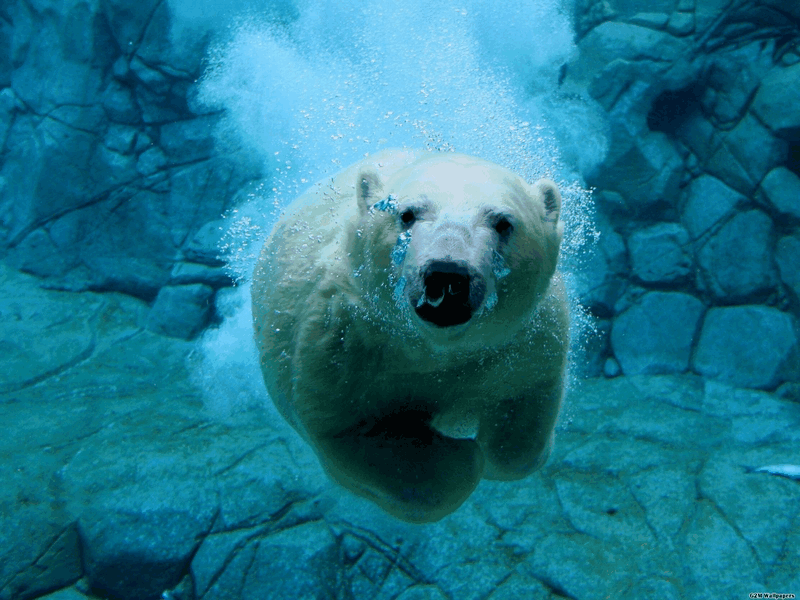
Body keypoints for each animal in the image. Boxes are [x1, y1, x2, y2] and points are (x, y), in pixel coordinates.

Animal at [252, 148, 569, 523]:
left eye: (503, 222)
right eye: (406, 214)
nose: (447, 274)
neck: (432, 347)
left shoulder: (523, 340)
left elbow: (523, 414)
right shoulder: (341, 346)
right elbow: (355, 435)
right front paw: (460, 456)